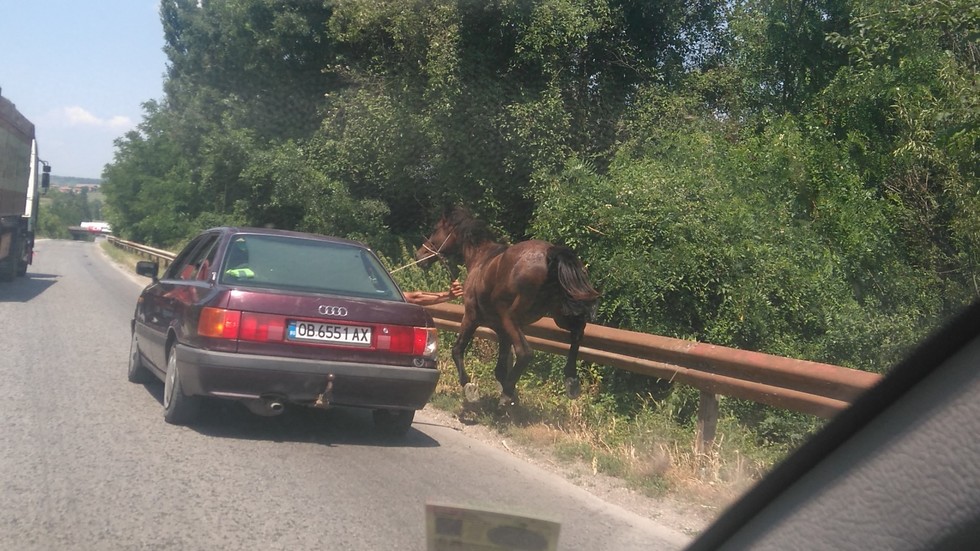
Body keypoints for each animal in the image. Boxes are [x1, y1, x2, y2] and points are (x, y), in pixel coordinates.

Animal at [414, 207, 596, 406]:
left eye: (435, 229)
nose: (419, 256)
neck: (480, 258)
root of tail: (550, 254)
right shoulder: (502, 331)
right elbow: (500, 368)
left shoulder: (471, 317)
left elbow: (457, 350)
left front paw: (470, 387)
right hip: (558, 315)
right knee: (577, 333)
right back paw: (571, 381)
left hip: (511, 316)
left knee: (525, 352)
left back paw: (507, 394)